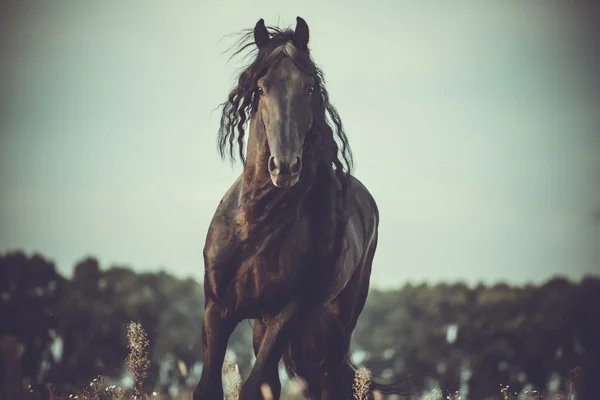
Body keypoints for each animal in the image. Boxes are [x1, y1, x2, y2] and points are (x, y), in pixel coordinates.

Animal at [195, 16, 406, 400]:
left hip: (333, 323)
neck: (256, 224)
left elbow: (255, 386)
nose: (285, 166)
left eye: (309, 88)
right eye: (261, 88)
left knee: (325, 381)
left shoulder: (286, 312)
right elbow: (208, 388)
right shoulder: (217, 309)